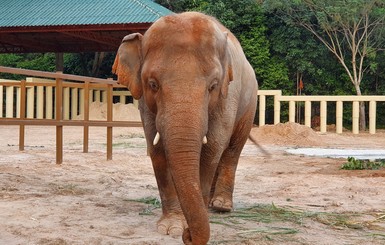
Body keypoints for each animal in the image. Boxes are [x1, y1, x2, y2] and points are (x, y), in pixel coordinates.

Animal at [113, 11, 258, 245]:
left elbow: (212, 147)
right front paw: (172, 226)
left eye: (213, 86)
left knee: (232, 149)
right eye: (153, 84)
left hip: (250, 103)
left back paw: (220, 206)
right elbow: (157, 149)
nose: (187, 235)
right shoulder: (145, 103)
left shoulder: (228, 95)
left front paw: (189, 223)